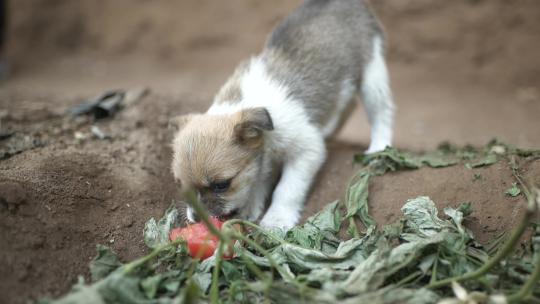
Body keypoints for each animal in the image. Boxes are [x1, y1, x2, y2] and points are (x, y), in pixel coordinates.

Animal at [171, 0, 394, 228]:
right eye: (180, 184)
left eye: (222, 185)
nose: (196, 218)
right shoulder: (265, 159)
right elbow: (260, 180)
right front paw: (252, 207)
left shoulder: (306, 151)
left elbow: (287, 189)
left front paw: (277, 219)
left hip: (372, 75)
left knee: (381, 112)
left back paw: (379, 147)